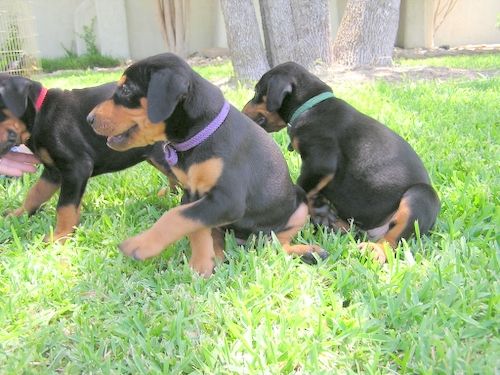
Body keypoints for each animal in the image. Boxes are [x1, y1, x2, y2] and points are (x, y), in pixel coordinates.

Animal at [0, 75, 172, 242]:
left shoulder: (76, 167)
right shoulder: (53, 172)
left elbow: (65, 206)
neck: (40, 113)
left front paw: (60, 234)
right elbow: (35, 193)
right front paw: (18, 214)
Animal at [87, 53, 326, 276]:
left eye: (126, 90)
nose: (89, 119)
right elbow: (195, 227)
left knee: (275, 243)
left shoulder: (227, 199)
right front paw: (201, 265)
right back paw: (219, 254)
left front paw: (141, 245)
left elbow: (175, 217)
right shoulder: (192, 193)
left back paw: (308, 251)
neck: (201, 134)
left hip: (299, 206)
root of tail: (244, 240)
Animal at [244, 61, 440, 262]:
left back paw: (374, 249)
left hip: (421, 196)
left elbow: (303, 188)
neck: (310, 106)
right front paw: (320, 210)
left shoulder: (320, 162)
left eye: (256, 91)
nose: (242, 110)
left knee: (394, 240)